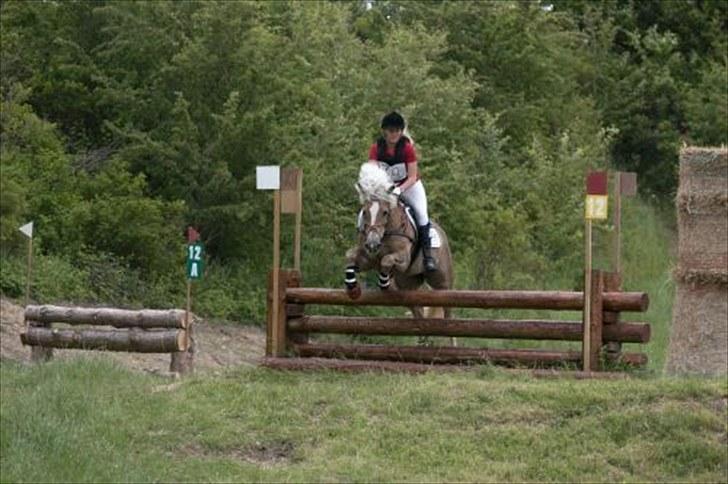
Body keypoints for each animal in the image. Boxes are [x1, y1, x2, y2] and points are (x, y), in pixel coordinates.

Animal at [342, 164, 456, 328]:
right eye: (364, 212)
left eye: (385, 212)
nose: (372, 243)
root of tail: (441, 232)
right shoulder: (367, 259)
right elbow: (350, 257)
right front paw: (353, 288)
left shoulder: (403, 260)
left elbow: (386, 260)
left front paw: (384, 283)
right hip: (407, 282)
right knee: (418, 311)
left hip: (442, 282)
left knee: (448, 307)